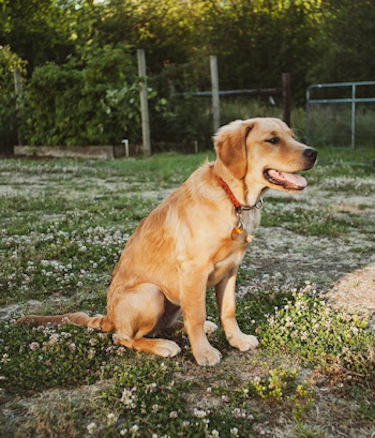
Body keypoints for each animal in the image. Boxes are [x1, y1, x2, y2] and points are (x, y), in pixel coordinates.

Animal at [17, 117, 318, 366]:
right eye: (272, 140)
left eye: (292, 136)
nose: (313, 153)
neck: (233, 199)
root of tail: (109, 318)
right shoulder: (195, 271)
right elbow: (195, 316)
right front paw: (204, 353)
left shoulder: (231, 269)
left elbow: (228, 310)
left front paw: (238, 340)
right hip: (152, 293)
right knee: (124, 337)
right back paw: (163, 346)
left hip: (171, 299)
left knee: (165, 324)